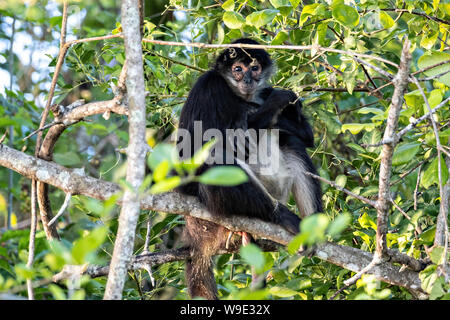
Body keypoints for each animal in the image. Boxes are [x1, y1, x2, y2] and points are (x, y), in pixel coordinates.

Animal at [177, 38, 324, 300]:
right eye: (237, 69)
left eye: (254, 68)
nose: (247, 80)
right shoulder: (208, 85)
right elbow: (193, 150)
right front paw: (274, 104)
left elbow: (306, 137)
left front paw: (282, 105)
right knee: (218, 161)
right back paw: (281, 216)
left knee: (292, 142)